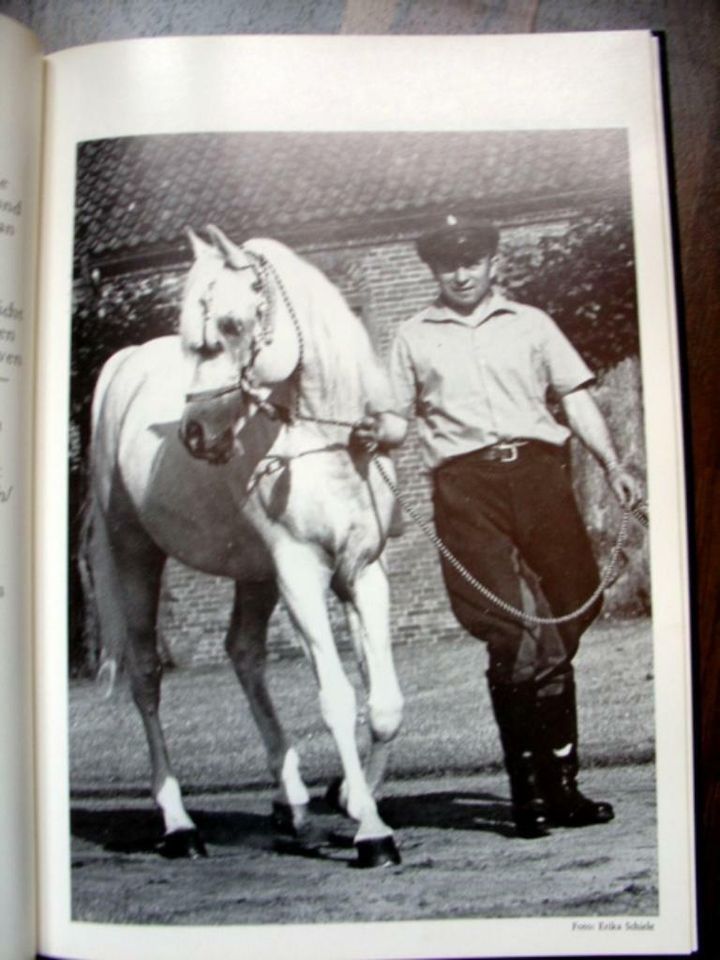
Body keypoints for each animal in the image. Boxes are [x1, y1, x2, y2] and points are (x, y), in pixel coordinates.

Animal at [84, 227, 404, 872]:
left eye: (232, 325)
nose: (195, 434)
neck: (324, 444)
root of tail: (123, 365)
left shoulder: (363, 571)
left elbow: (383, 703)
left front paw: (353, 802)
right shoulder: (300, 575)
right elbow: (337, 696)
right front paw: (371, 832)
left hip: (253, 575)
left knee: (243, 653)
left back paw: (292, 804)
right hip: (136, 558)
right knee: (146, 678)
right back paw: (179, 826)